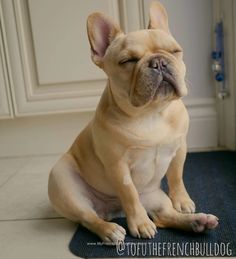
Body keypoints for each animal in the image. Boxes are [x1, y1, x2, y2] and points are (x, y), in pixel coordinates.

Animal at [48, 1, 219, 246]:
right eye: (127, 61)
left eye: (175, 51)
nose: (159, 62)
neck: (151, 113)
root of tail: (111, 210)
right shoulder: (118, 166)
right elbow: (129, 194)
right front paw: (140, 223)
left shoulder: (180, 148)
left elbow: (176, 176)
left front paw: (182, 201)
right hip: (64, 185)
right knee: (88, 218)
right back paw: (110, 230)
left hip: (154, 196)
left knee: (164, 217)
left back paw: (199, 222)